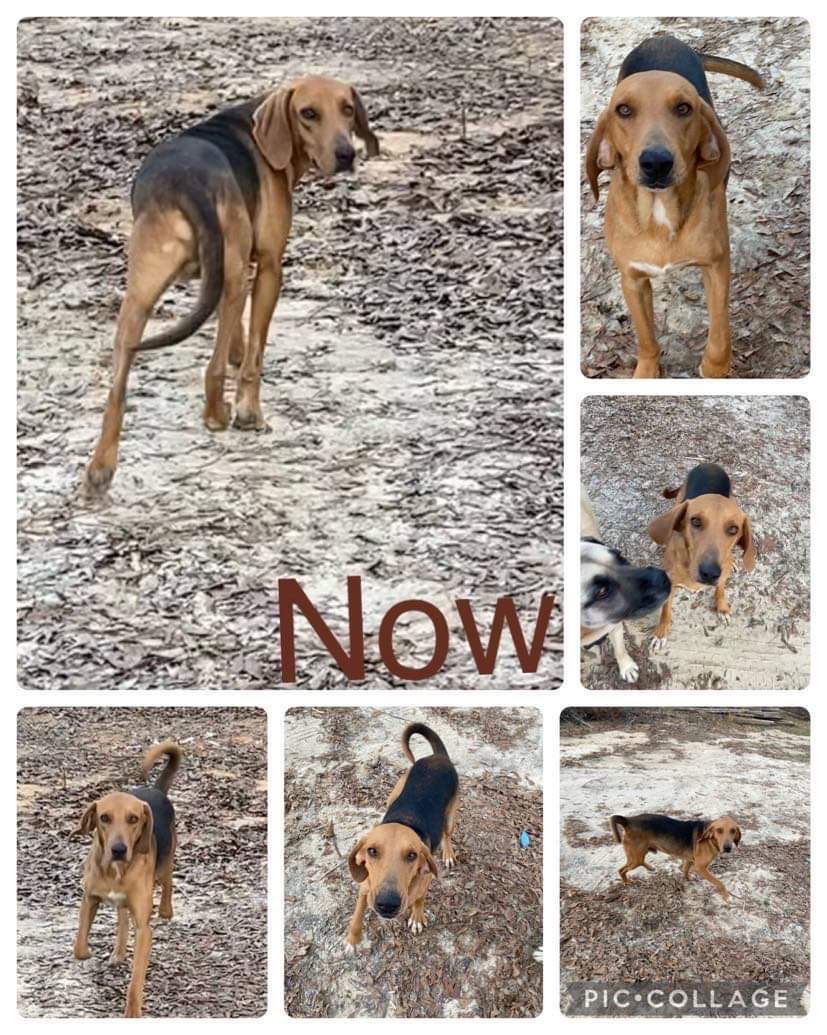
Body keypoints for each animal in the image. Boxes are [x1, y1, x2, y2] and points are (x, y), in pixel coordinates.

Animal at [82, 75, 380, 494]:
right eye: (308, 113)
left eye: (348, 109)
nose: (346, 155)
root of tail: (187, 184)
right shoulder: (268, 267)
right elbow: (254, 353)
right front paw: (249, 410)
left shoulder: (212, 279)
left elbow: (236, 333)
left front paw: (237, 353)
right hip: (236, 276)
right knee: (213, 370)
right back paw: (219, 414)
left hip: (140, 296)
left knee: (117, 392)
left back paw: (100, 468)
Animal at [583, 482, 670, 678]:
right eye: (602, 591)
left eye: (620, 556)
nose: (664, 578)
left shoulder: (613, 625)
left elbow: (620, 647)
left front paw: (626, 667)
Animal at [608, 811, 745, 902]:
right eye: (719, 830)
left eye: (733, 831)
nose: (727, 848)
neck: (710, 839)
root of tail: (628, 820)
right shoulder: (700, 868)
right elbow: (719, 882)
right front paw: (726, 896)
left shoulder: (689, 860)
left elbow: (685, 870)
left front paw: (687, 879)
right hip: (635, 857)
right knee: (622, 870)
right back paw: (626, 882)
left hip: (640, 854)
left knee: (639, 862)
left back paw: (649, 868)